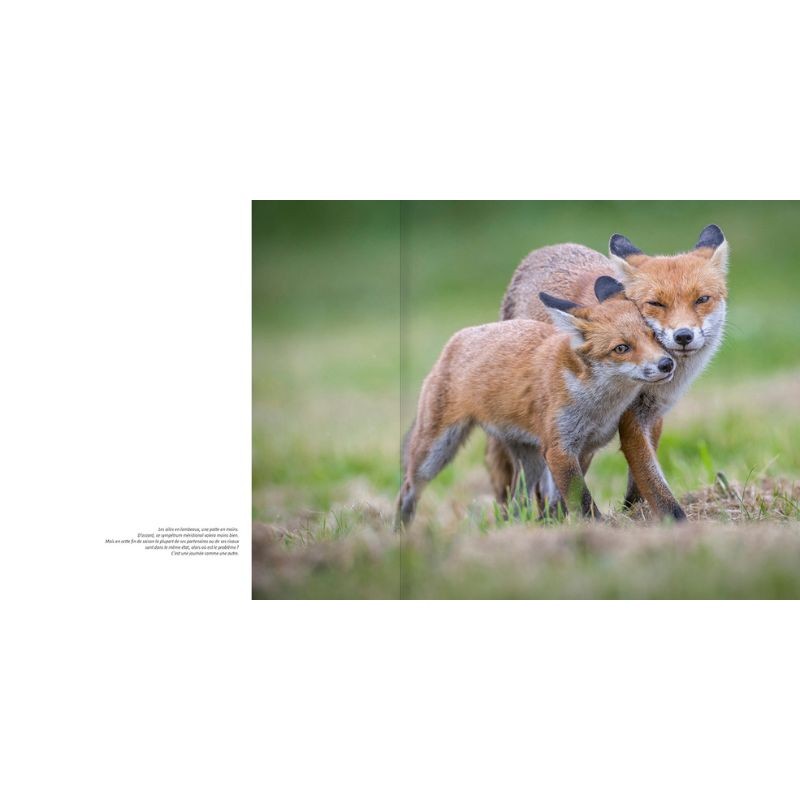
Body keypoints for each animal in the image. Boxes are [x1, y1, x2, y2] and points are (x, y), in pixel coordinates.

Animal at [394, 276, 676, 530]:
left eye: (652, 335)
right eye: (621, 348)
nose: (667, 364)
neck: (595, 403)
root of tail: (458, 336)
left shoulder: (583, 448)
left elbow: (564, 500)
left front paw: (556, 525)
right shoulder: (559, 449)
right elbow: (582, 500)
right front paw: (600, 530)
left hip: (528, 458)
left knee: (519, 500)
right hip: (436, 450)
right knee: (408, 489)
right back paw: (400, 534)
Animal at [487, 224, 729, 521]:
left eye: (702, 299)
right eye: (656, 304)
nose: (683, 335)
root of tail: (547, 248)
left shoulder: (652, 416)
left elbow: (641, 479)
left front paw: (633, 512)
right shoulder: (630, 420)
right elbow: (653, 483)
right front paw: (675, 521)